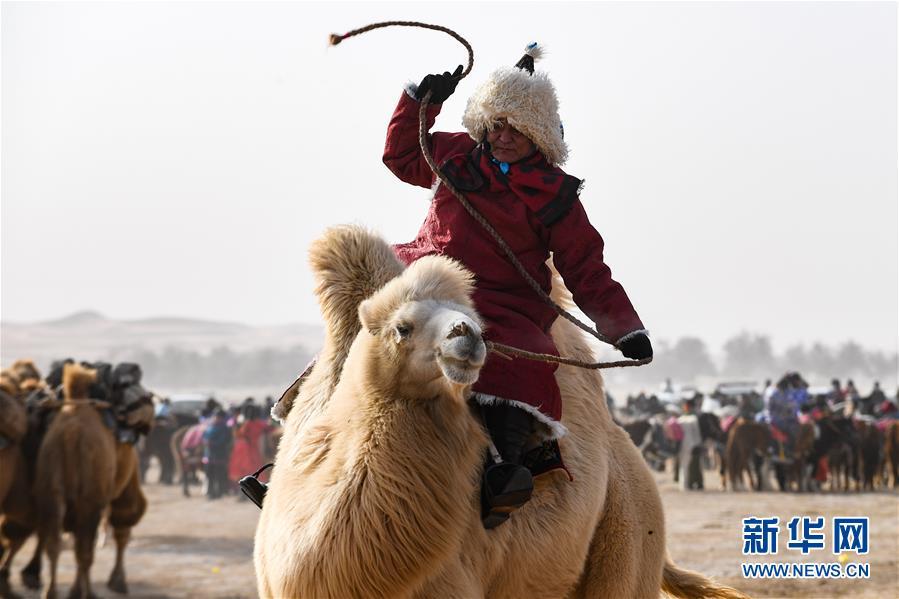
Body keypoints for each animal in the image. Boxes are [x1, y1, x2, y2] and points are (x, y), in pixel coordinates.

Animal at [33, 364, 151, 599]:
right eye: (129, 384)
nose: (148, 400)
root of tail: (71, 434)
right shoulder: (122, 483)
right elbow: (123, 525)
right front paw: (118, 582)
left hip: (52, 490)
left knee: (55, 544)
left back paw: (51, 591)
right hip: (90, 496)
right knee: (85, 549)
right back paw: (86, 593)